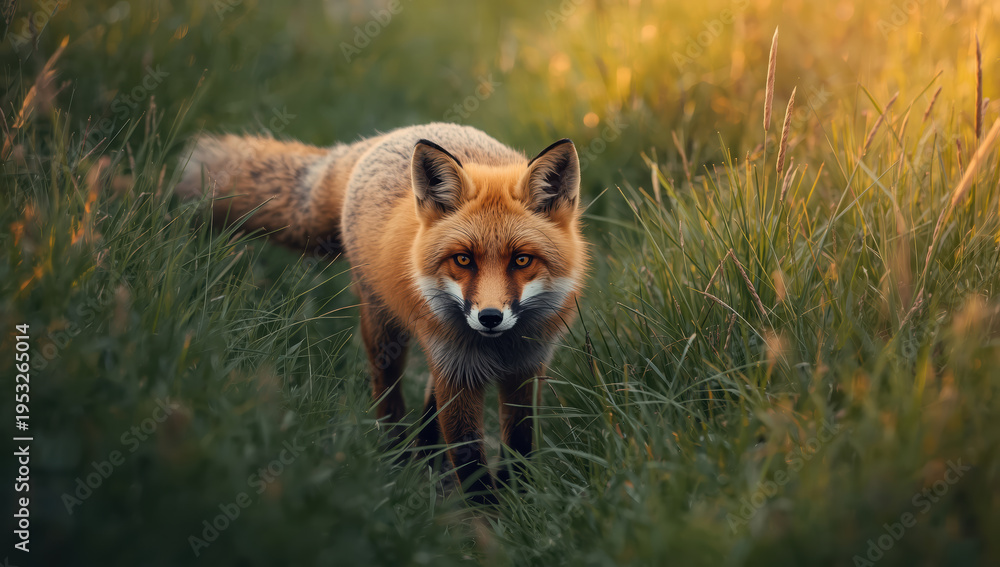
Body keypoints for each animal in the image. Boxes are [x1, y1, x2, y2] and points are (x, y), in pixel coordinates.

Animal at [176, 122, 588, 503]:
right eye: (463, 260)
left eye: (521, 260)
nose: (489, 317)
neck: (498, 348)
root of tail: (384, 137)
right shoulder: (457, 372)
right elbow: (470, 459)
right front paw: (489, 518)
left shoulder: (526, 367)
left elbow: (520, 446)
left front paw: (518, 500)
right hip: (384, 332)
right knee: (387, 393)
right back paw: (398, 458)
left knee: (428, 401)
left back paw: (427, 456)